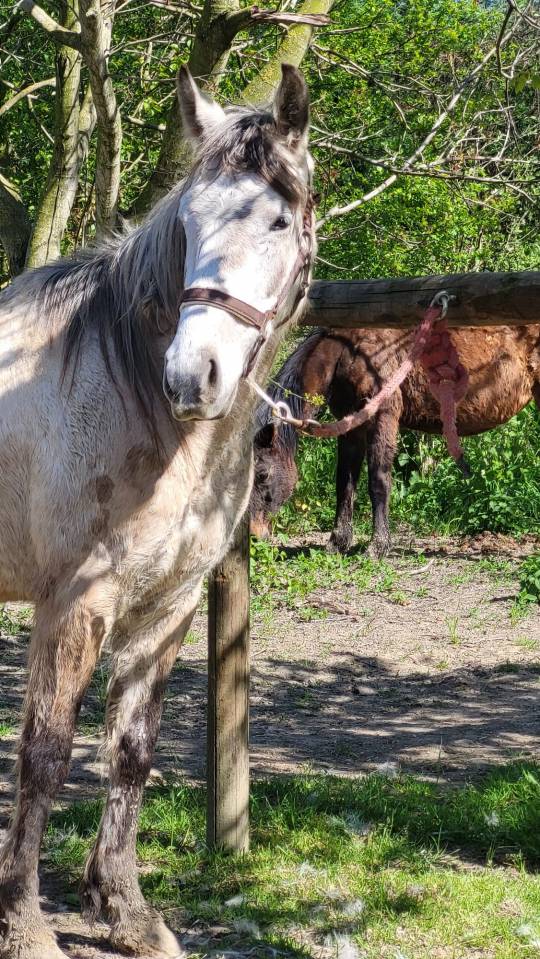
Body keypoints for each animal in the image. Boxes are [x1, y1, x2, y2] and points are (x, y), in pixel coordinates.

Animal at [0, 65, 315, 959]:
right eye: (189, 220)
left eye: (278, 218)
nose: (193, 375)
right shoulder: (76, 604)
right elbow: (44, 753)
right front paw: (25, 924)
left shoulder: (168, 604)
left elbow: (132, 752)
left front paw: (128, 911)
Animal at [250, 324, 540, 556]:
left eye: (262, 474)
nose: (254, 535)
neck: (350, 352)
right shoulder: (351, 427)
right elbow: (344, 483)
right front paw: (337, 543)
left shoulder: (383, 418)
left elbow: (378, 481)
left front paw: (377, 547)